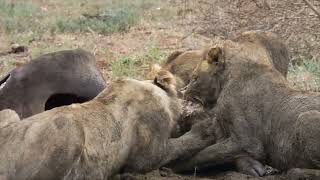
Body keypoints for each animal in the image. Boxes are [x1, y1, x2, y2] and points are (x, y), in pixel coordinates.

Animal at [171, 43, 320, 179]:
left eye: (194, 78)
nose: (183, 92)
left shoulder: (249, 143)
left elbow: (204, 154)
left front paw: (173, 166)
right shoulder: (221, 129)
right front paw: (253, 167)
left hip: (305, 118)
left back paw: (292, 171)